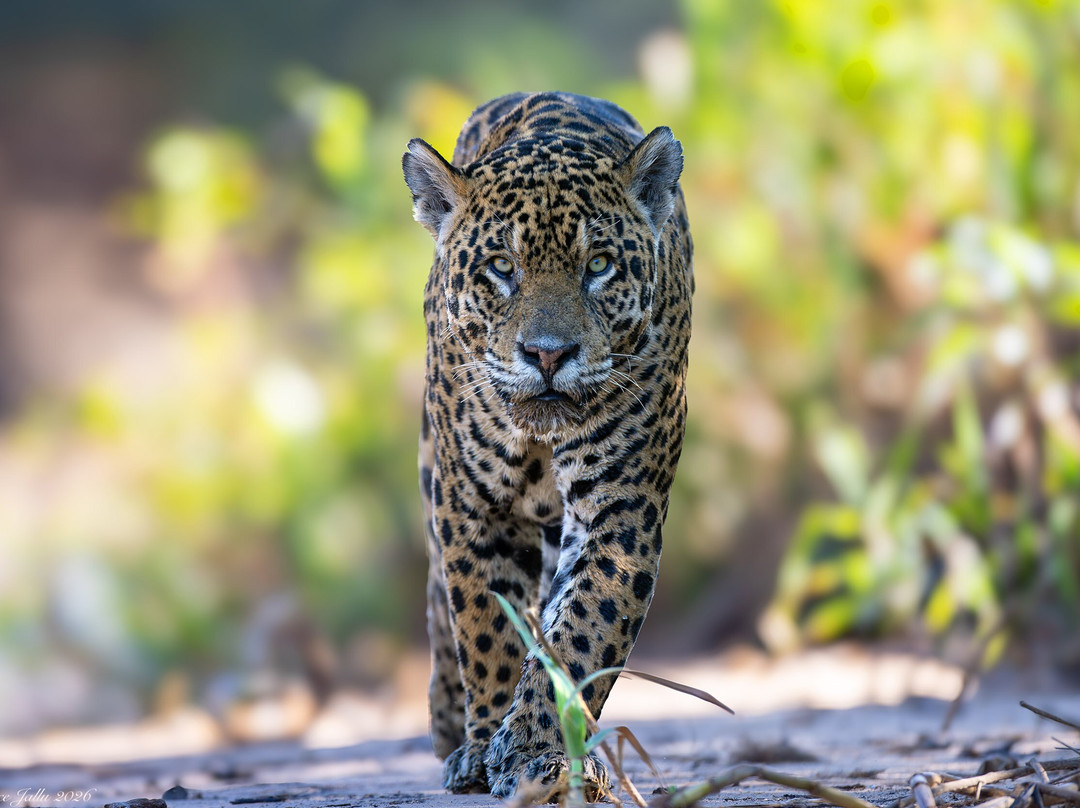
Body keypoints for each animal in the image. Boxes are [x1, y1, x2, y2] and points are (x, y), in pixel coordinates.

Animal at [402, 91, 693, 802]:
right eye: (502, 269)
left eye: (599, 266)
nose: (549, 354)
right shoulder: (473, 506)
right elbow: (487, 628)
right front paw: (487, 748)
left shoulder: (620, 510)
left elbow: (581, 630)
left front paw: (540, 749)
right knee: (438, 603)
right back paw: (451, 730)